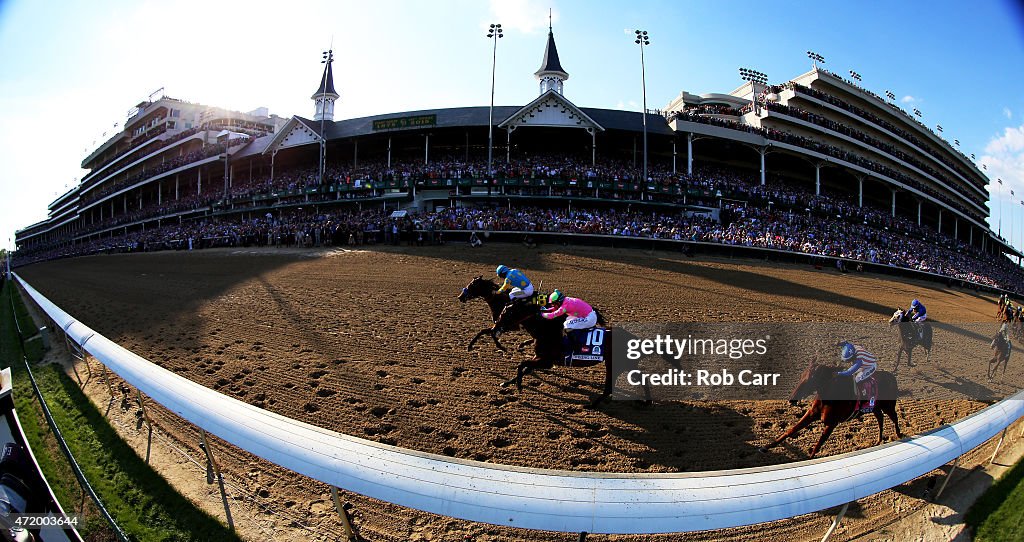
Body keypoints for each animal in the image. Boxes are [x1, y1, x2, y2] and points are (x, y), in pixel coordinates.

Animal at [466, 299, 614, 405]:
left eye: (508, 313)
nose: (495, 327)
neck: (547, 331)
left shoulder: (547, 361)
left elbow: (522, 365)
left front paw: (519, 386)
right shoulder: (538, 357)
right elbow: (525, 368)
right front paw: (508, 383)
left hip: (611, 364)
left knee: (608, 388)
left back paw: (591, 406)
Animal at [757, 358, 901, 456]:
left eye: (812, 379)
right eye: (801, 375)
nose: (792, 399)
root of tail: (892, 377)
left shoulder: (832, 423)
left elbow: (818, 444)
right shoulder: (812, 413)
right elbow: (792, 430)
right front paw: (766, 447)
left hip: (888, 406)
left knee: (894, 417)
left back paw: (899, 434)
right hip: (875, 407)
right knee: (880, 418)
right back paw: (878, 440)